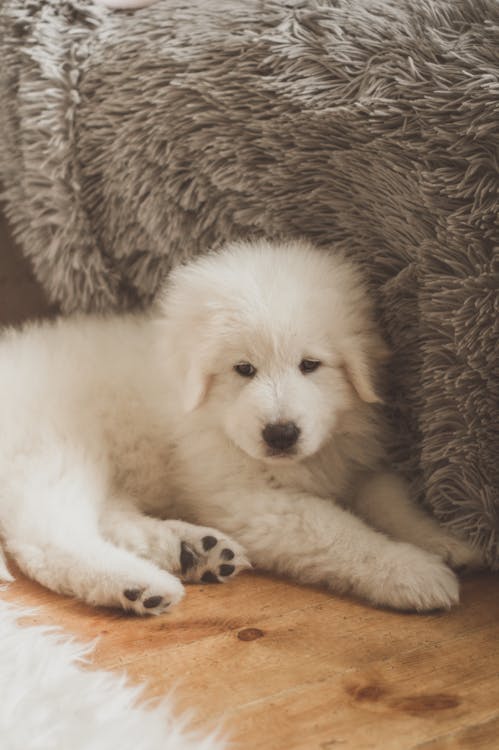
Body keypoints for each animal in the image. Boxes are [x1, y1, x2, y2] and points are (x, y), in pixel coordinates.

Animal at [0, 241, 480, 616]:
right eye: (244, 369)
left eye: (310, 365)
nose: (281, 434)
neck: (214, 417)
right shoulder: (249, 502)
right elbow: (339, 532)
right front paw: (410, 570)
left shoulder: (351, 459)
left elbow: (389, 496)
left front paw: (440, 538)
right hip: (58, 453)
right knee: (49, 537)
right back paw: (139, 584)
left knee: (108, 516)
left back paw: (191, 550)